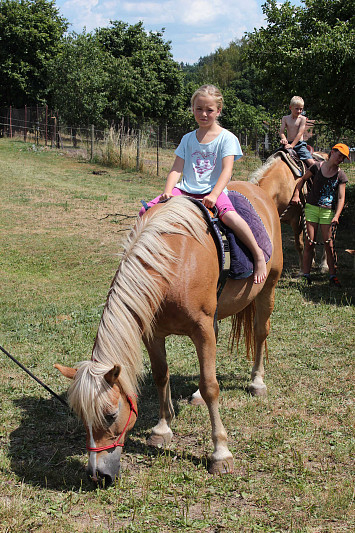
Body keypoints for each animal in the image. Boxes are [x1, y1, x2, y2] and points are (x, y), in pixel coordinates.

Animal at [55, 184, 284, 486]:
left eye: (110, 414)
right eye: (80, 416)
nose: (98, 475)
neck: (174, 263)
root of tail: (258, 189)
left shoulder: (201, 329)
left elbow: (212, 387)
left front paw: (220, 453)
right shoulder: (154, 334)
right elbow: (161, 376)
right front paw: (162, 430)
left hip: (268, 288)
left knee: (259, 333)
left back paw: (257, 382)